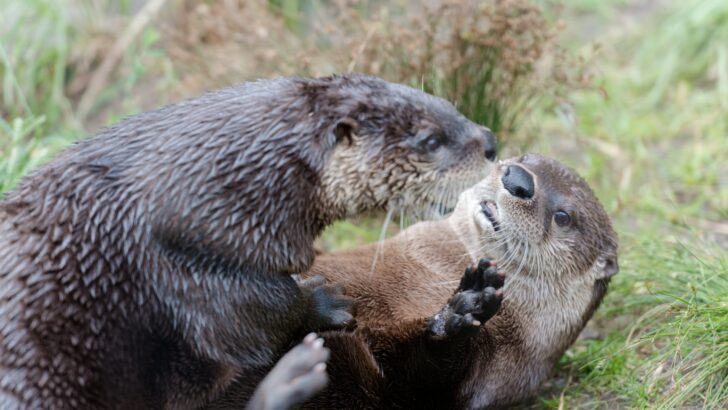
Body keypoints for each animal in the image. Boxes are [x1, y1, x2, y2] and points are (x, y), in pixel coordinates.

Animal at [0, 74, 497, 409]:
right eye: (429, 140)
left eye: (449, 105)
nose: (491, 140)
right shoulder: (182, 260)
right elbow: (254, 313)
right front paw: (325, 301)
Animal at [284, 154, 619, 409]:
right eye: (524, 158)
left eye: (563, 217)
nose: (518, 179)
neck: (432, 268)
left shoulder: (496, 371)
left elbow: (411, 385)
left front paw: (465, 310)